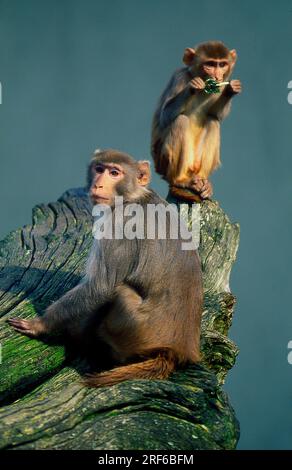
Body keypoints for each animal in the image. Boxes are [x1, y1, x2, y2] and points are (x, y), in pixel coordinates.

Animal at [7, 149, 203, 388]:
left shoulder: (117, 227)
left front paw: (41, 324)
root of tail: (175, 353)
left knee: (118, 292)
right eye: (99, 169)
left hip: (130, 330)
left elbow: (101, 287)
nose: (98, 184)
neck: (132, 197)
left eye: (114, 173)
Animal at [151, 41, 242, 201]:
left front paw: (232, 89)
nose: (217, 75)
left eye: (222, 64)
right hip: (164, 162)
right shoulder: (179, 77)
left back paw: (204, 182)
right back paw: (180, 180)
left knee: (213, 122)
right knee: (180, 121)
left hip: (195, 163)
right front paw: (193, 86)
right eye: (210, 64)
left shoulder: (218, 88)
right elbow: (164, 116)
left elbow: (215, 114)